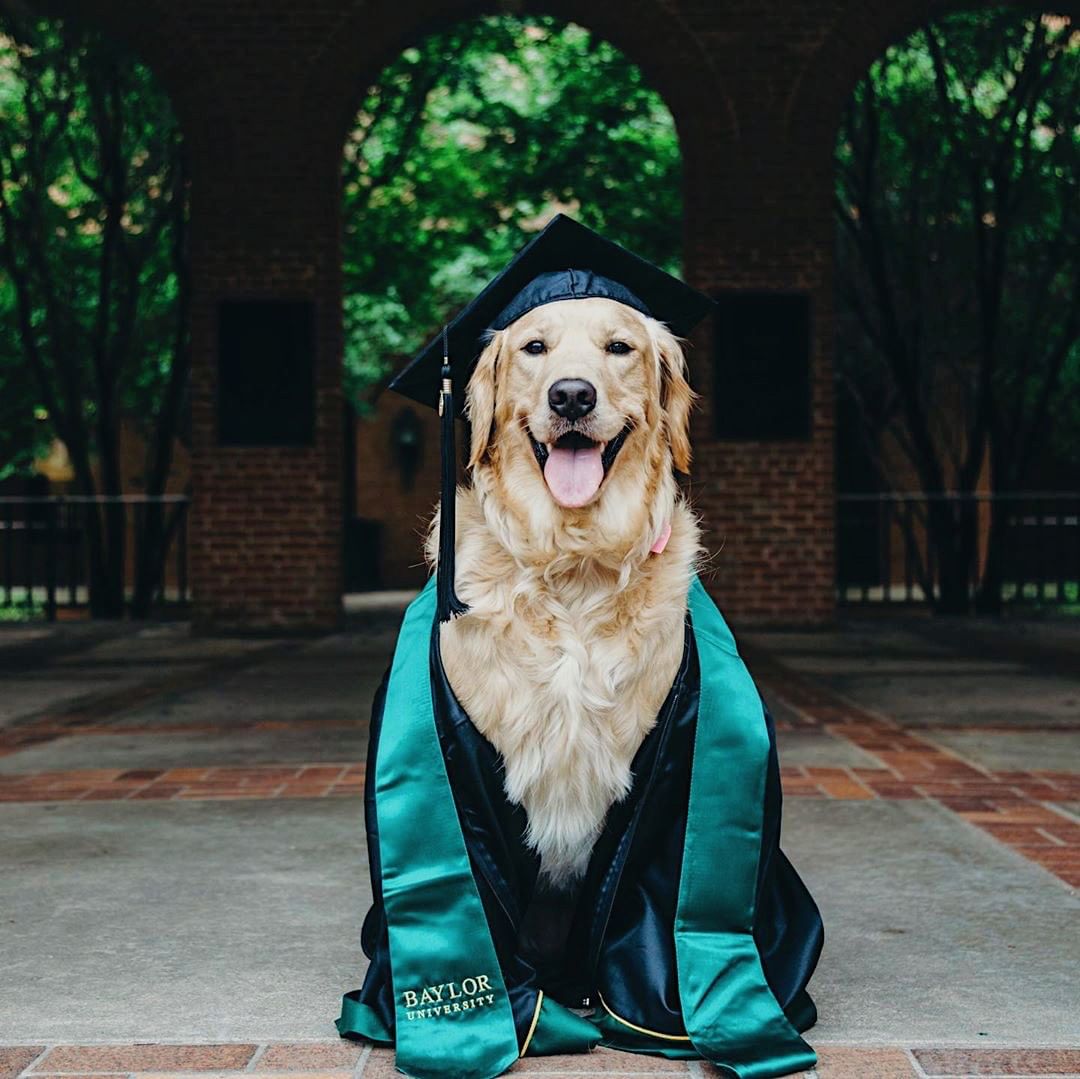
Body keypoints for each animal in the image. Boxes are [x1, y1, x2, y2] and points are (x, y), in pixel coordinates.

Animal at [429, 295, 699, 885]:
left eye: (619, 347)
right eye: (535, 347)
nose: (572, 395)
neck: (574, 560)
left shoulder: (660, 763)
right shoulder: (466, 758)